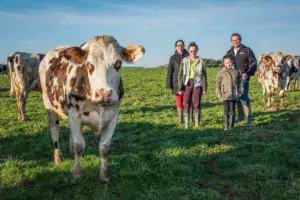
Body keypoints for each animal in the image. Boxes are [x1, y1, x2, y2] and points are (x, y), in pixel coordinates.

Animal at [39, 35, 145, 182]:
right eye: (89, 64)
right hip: (49, 107)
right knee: (54, 131)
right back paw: (58, 157)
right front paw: (76, 173)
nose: (104, 93)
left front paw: (104, 175)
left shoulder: (113, 116)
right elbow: (79, 146)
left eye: (118, 63)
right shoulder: (74, 115)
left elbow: (105, 148)